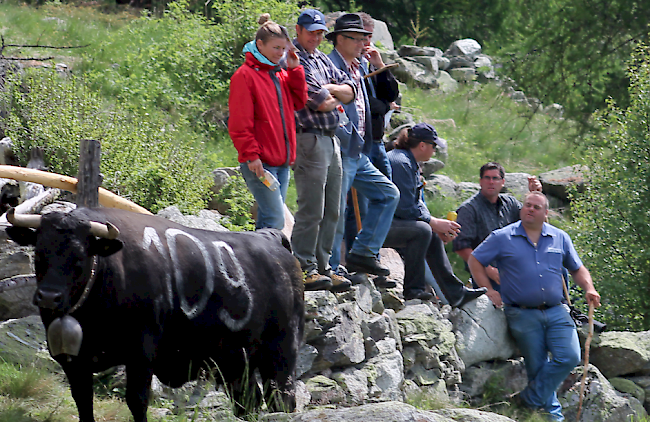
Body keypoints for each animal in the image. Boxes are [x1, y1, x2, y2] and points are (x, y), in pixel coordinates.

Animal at [5, 208, 304, 422]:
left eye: (79, 257)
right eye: (39, 252)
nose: (48, 297)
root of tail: (271, 240)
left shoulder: (141, 353)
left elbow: (137, 401)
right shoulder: (73, 361)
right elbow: (83, 402)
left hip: (281, 353)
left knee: (282, 400)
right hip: (235, 361)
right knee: (248, 401)